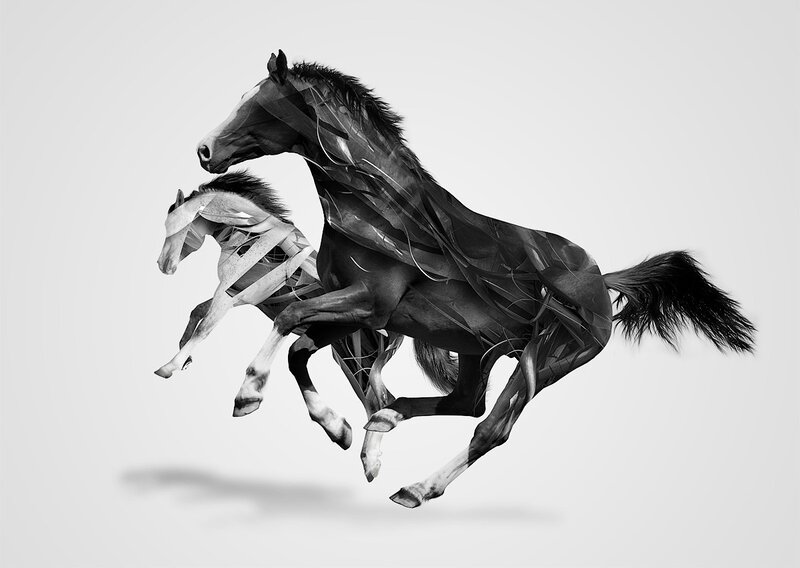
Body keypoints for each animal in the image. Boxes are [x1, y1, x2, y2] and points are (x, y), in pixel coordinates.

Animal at [155, 171, 456, 455]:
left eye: (174, 226)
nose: (163, 265)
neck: (253, 238)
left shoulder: (231, 294)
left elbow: (205, 326)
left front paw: (169, 366)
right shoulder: (239, 296)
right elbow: (198, 312)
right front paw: (184, 357)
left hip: (356, 356)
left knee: (378, 400)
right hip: (353, 358)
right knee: (377, 400)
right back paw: (350, 439)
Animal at [194, 51, 756, 507]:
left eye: (262, 105)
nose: (204, 150)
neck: (381, 211)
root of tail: (600, 278)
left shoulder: (370, 302)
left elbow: (290, 316)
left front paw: (248, 394)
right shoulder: (353, 306)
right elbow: (298, 348)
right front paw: (341, 432)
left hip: (544, 360)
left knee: (490, 428)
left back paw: (417, 487)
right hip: (473, 349)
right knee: (465, 403)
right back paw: (381, 426)